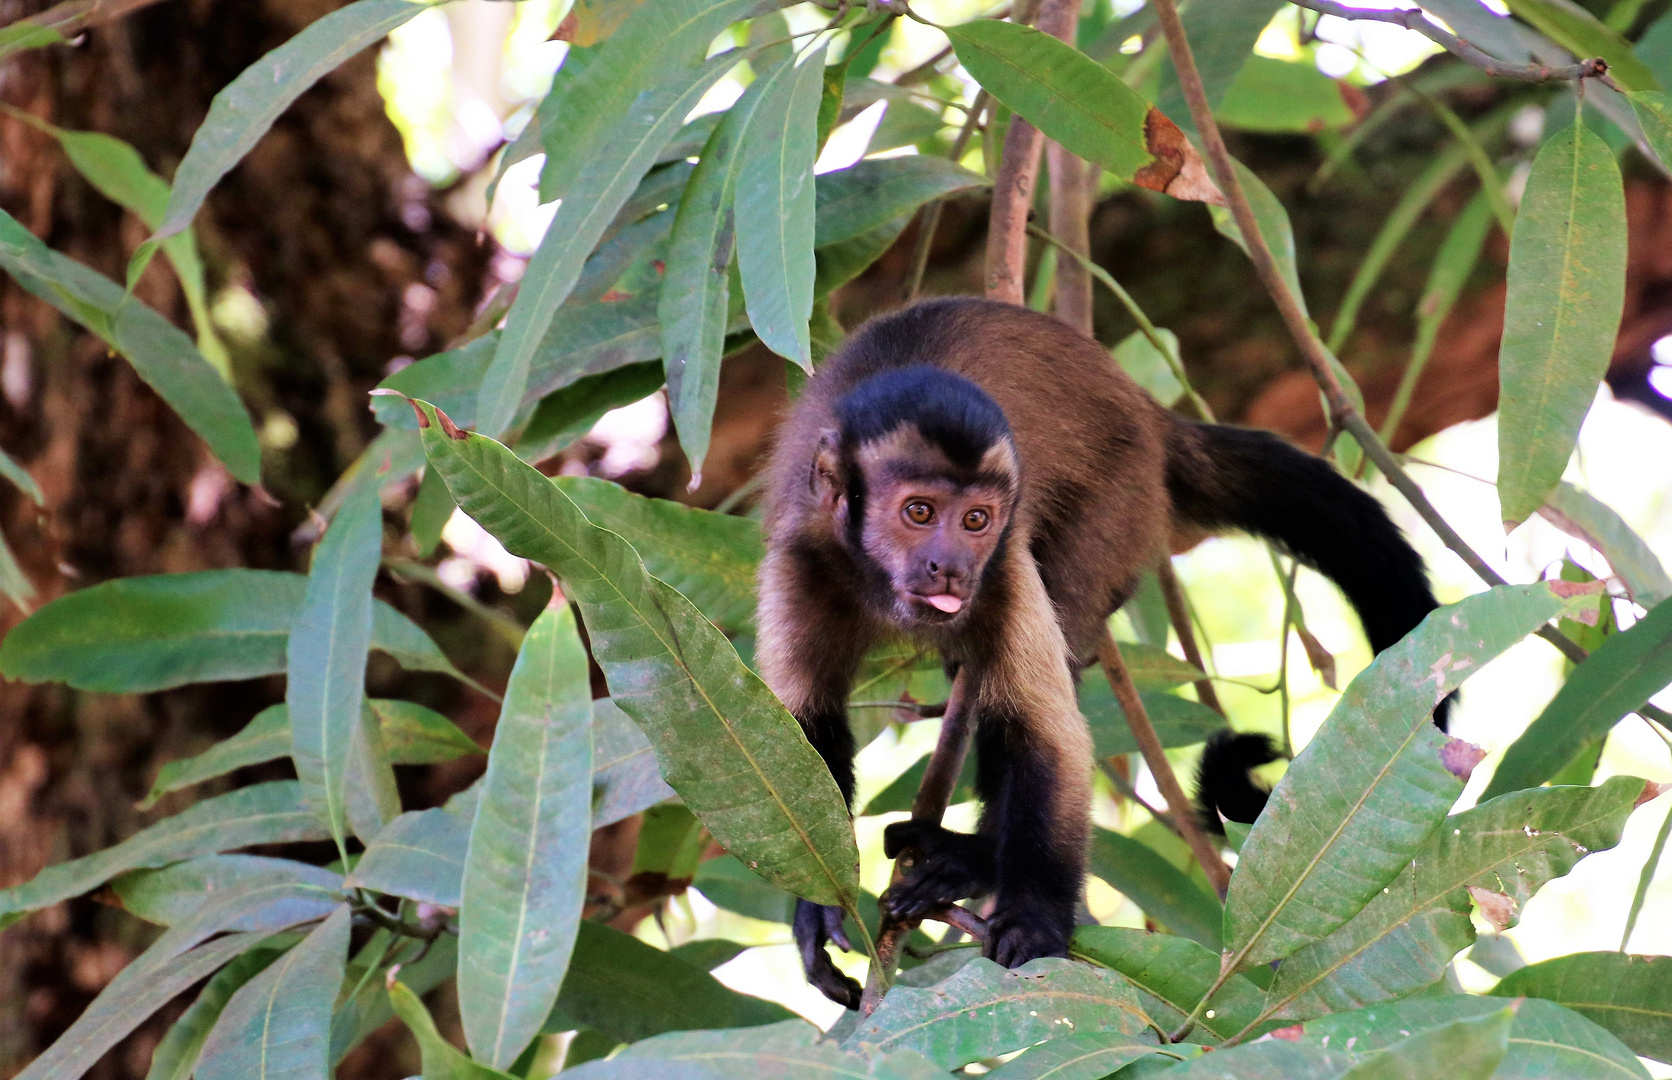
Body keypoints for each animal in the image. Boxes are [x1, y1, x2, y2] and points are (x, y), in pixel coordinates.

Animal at [752, 295, 1444, 1009]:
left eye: (976, 520)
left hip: (1120, 506)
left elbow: (1047, 734)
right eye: (919, 512)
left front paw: (1033, 921)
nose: (951, 566)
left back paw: (972, 861)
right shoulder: (800, 556)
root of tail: (1144, 409)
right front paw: (817, 907)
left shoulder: (1004, 568)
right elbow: (802, 728)